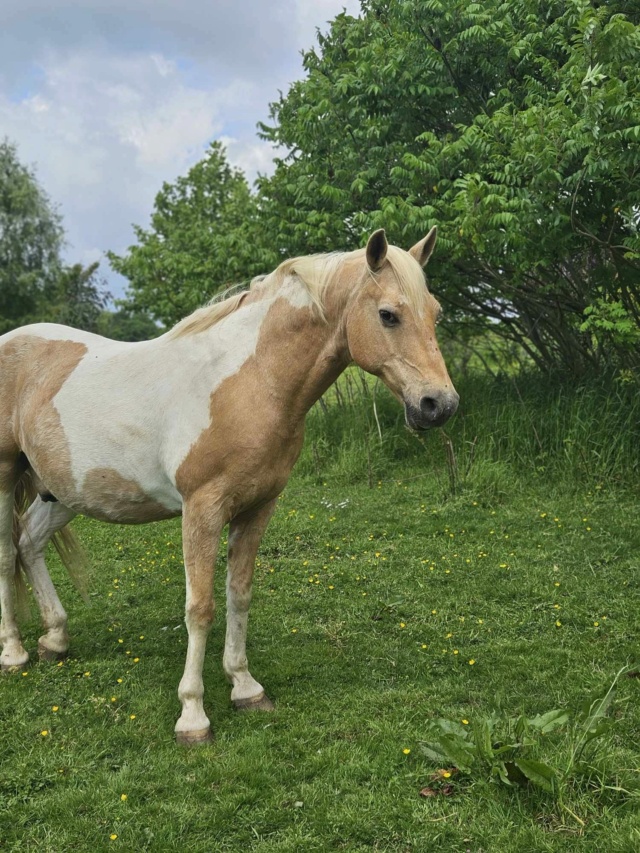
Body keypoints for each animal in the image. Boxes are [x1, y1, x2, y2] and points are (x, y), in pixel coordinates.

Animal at [1, 226, 460, 740]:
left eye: (435, 313)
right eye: (388, 315)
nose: (438, 405)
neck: (250, 382)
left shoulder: (258, 508)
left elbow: (239, 594)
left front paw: (245, 687)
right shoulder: (202, 510)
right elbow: (200, 607)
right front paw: (192, 714)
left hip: (62, 491)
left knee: (29, 543)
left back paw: (55, 639)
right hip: (5, 477)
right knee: (5, 555)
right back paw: (14, 653)